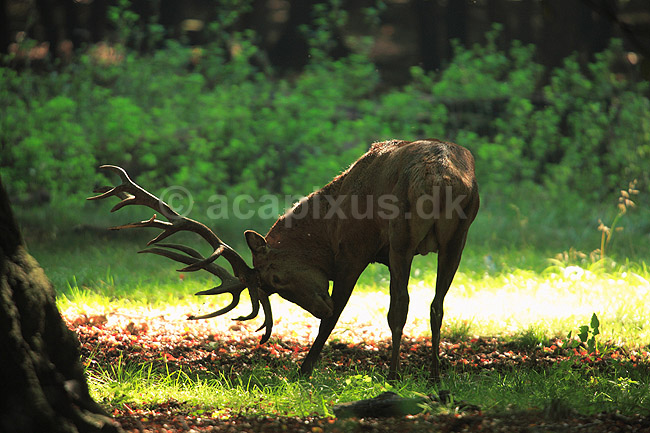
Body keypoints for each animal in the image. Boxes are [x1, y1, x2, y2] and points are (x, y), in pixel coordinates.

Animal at [88, 138, 479, 380]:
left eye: (273, 279)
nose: (317, 307)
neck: (329, 227)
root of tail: (440, 179)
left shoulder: (353, 250)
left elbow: (335, 315)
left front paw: (304, 369)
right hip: (459, 235)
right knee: (437, 305)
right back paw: (434, 376)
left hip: (401, 236)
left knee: (400, 305)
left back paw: (394, 375)